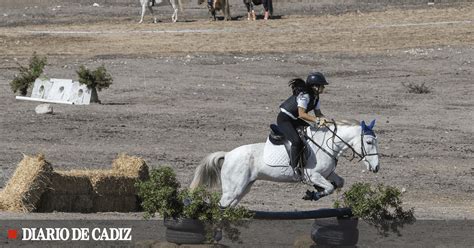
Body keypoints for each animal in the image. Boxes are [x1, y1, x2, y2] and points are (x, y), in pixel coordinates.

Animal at [191, 119, 380, 207]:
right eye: (369, 142)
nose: (377, 167)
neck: (328, 144)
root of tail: (228, 155)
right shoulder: (313, 175)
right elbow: (330, 187)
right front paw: (313, 194)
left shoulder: (327, 174)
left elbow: (338, 183)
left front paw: (315, 192)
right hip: (233, 190)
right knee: (221, 206)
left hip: (243, 189)